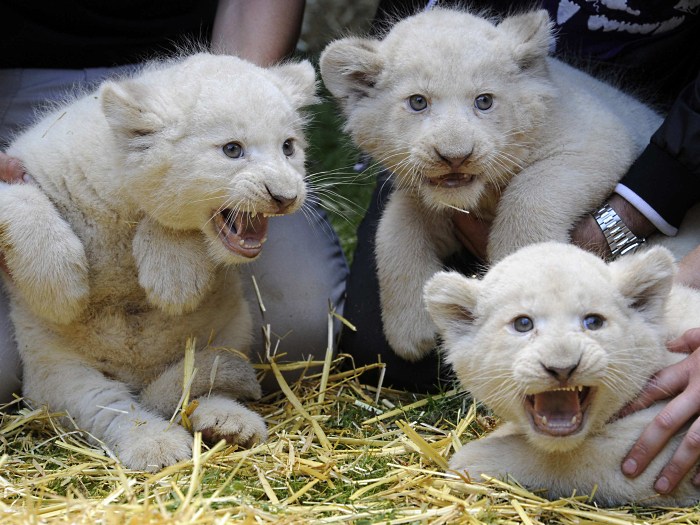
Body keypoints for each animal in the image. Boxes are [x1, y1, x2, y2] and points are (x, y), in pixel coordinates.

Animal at [424, 242, 700, 506]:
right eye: (523, 324)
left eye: (593, 321)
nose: (562, 368)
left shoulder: (657, 447)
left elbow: (572, 458)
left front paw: (470, 458)